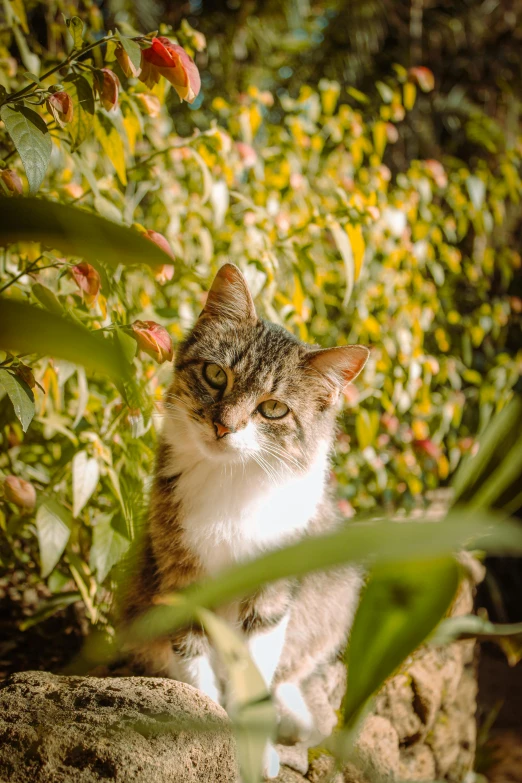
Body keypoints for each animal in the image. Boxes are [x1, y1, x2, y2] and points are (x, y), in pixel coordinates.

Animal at [120, 264, 368, 776]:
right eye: (216, 375)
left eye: (273, 408)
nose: (223, 426)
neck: (232, 480)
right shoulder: (178, 573)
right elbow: (193, 660)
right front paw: (204, 721)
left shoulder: (273, 588)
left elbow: (258, 670)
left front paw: (258, 750)